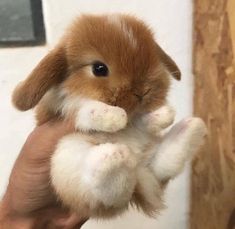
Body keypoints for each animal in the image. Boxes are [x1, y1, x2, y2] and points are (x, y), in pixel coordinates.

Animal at [11, 13, 207, 218]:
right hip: (66, 157)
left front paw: (164, 114)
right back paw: (115, 155)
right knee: (107, 197)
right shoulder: (59, 110)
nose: (143, 91)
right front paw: (115, 117)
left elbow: (142, 121)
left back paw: (190, 128)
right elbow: (85, 108)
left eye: (152, 58)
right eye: (99, 68)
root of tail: (139, 174)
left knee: (160, 167)